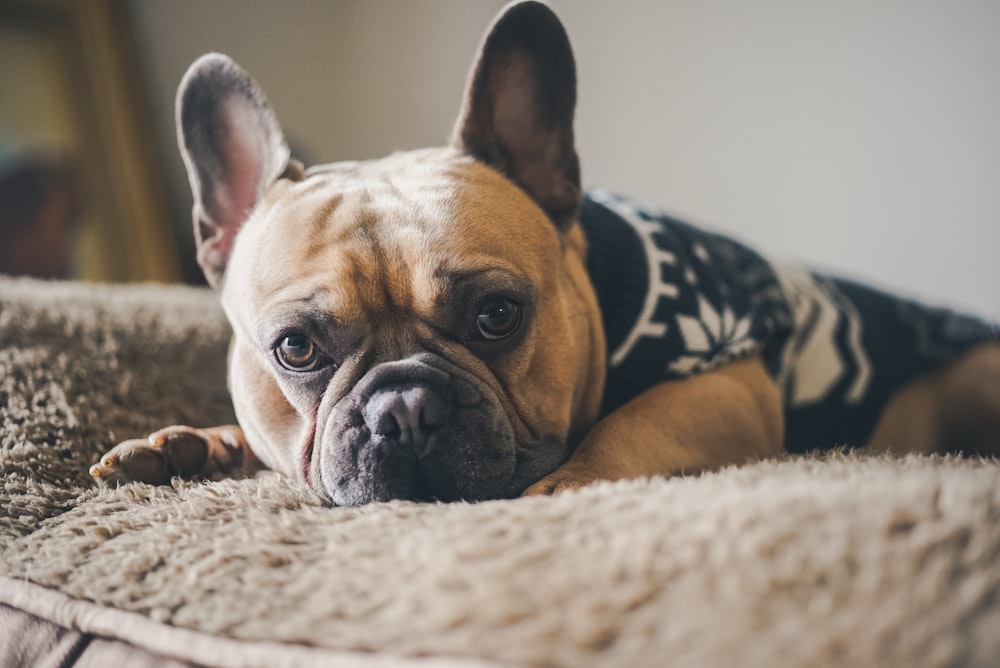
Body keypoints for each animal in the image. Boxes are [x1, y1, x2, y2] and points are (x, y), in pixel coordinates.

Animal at [90, 0, 996, 500]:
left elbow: (629, 424)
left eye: (498, 316)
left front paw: (569, 484)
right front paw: (193, 445)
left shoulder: (729, 383)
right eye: (294, 348)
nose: (401, 407)